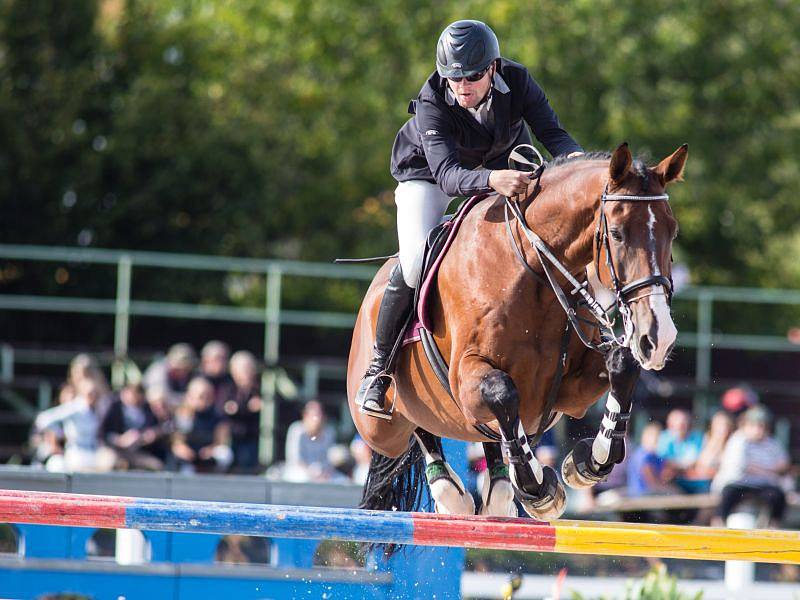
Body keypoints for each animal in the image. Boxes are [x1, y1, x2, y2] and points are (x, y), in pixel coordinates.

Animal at [346, 142, 684, 520]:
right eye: (617, 234)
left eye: (673, 232)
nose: (658, 337)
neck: (530, 267)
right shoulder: (467, 375)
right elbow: (501, 391)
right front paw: (538, 489)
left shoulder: (569, 392)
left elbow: (622, 366)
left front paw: (589, 462)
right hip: (382, 429)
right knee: (421, 429)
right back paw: (449, 489)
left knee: (486, 436)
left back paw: (496, 490)